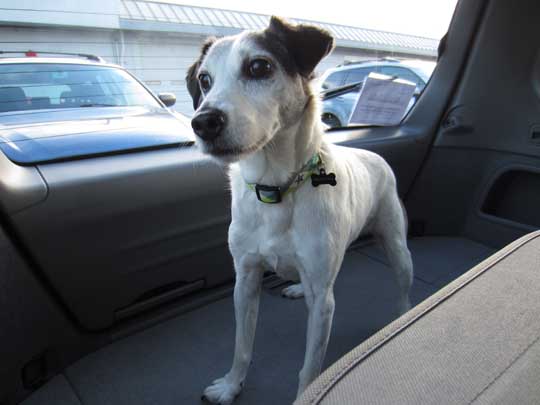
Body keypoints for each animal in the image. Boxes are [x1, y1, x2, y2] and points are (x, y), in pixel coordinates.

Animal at [186, 16, 414, 404]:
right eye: (205, 80)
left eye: (259, 67)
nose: (203, 122)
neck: (276, 187)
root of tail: (373, 155)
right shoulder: (245, 279)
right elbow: (241, 346)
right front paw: (232, 386)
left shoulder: (323, 301)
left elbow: (310, 369)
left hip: (397, 247)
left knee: (402, 287)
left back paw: (402, 316)